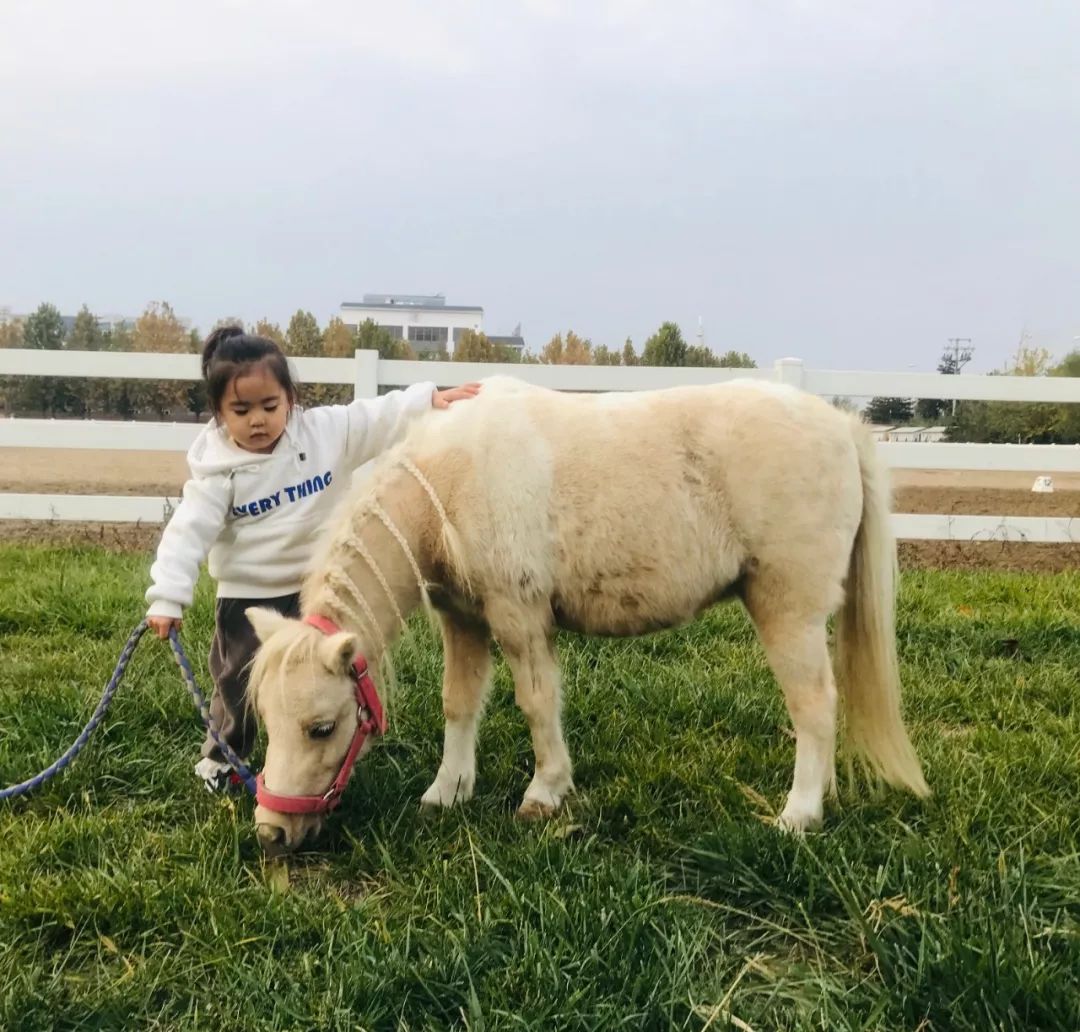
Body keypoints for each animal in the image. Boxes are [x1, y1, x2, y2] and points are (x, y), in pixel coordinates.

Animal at [245, 375, 928, 859]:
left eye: (322, 728)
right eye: (267, 722)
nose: (271, 833)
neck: (450, 480)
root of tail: (841, 425)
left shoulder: (518, 616)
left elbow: (536, 702)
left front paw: (544, 792)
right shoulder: (463, 620)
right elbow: (458, 703)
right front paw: (448, 791)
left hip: (789, 611)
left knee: (814, 708)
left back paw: (799, 814)